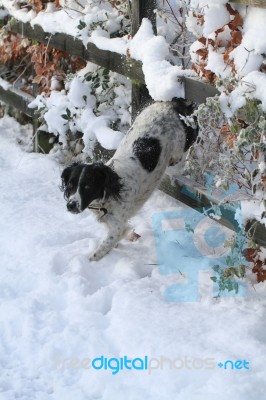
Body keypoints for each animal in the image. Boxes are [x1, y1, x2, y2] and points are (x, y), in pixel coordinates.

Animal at [61, 101, 196, 260]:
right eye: (71, 185)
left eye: (87, 186)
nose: (71, 205)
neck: (110, 192)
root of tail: (173, 104)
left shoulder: (117, 227)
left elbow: (98, 252)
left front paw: (88, 261)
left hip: (180, 147)